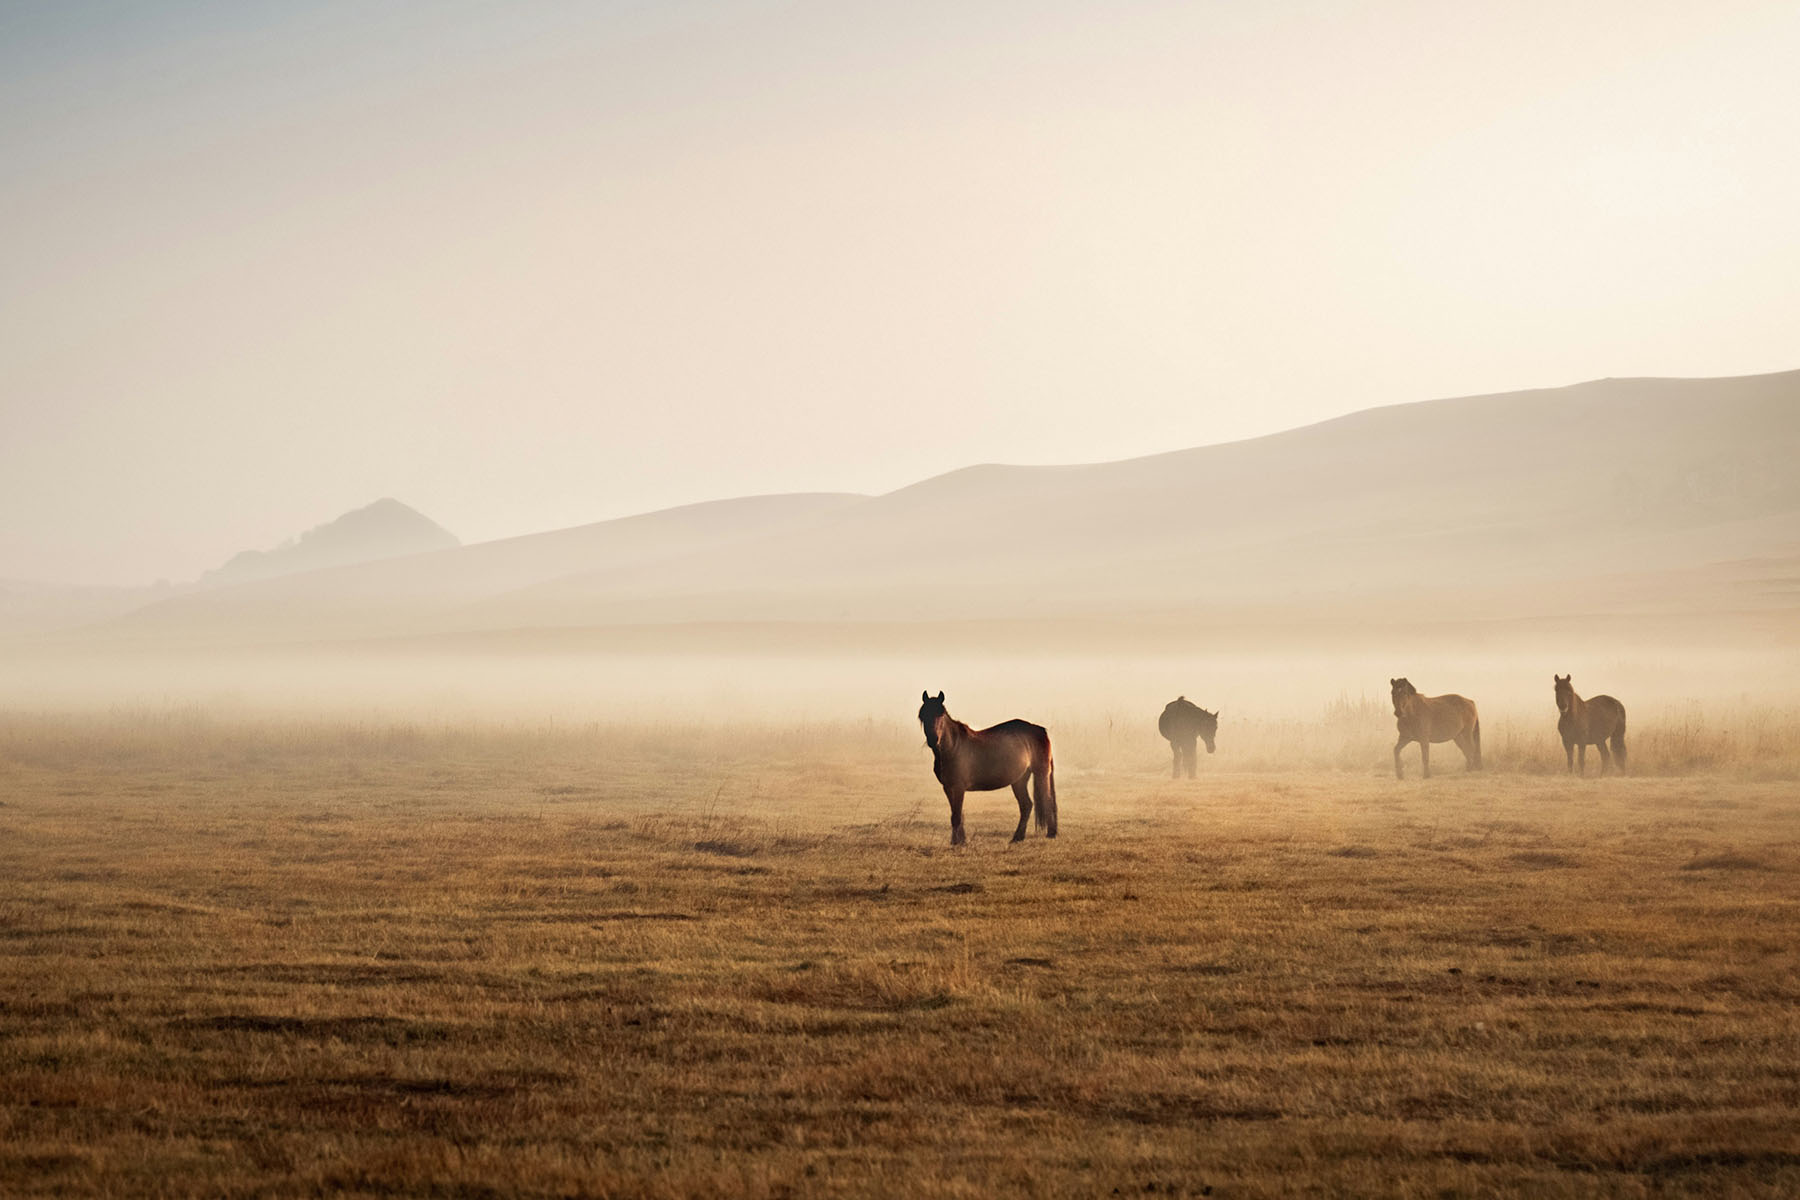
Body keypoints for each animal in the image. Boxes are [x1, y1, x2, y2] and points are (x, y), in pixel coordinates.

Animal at [917, 691, 1057, 845]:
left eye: (941, 715)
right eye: (923, 716)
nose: (933, 739)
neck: (953, 748)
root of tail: (1039, 730)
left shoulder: (959, 787)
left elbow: (957, 816)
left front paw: (957, 842)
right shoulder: (948, 787)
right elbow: (956, 814)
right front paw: (960, 840)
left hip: (1041, 774)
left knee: (1047, 800)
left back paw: (1050, 833)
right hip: (1019, 780)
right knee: (1026, 805)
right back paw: (1017, 837)